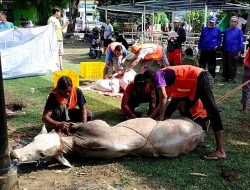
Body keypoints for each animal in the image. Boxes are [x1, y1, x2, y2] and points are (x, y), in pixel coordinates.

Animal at [10, 118, 206, 167]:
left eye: (42, 154)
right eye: (34, 139)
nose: (14, 154)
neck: (75, 143)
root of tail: (201, 132)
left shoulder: (98, 126)